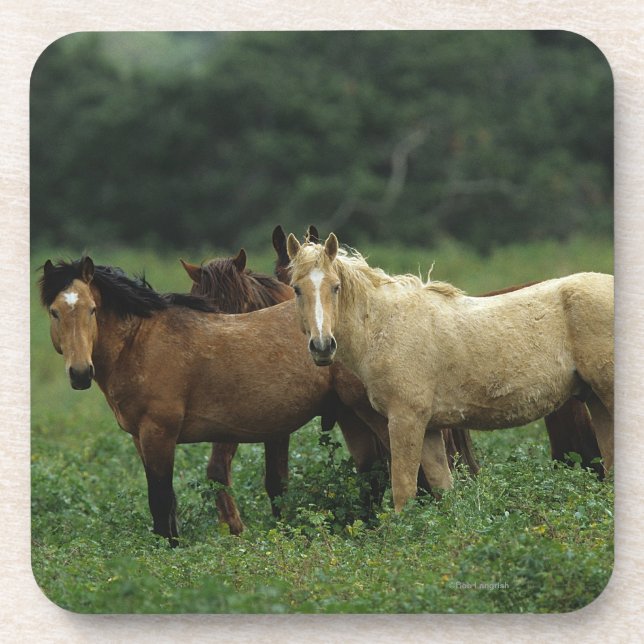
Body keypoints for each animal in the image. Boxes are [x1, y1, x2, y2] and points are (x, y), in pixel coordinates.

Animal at [40, 256, 391, 545]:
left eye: (92, 310)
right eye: (54, 312)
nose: (80, 373)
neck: (140, 341)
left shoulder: (159, 433)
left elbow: (161, 500)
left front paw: (170, 551)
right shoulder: (141, 438)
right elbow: (167, 503)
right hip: (350, 416)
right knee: (371, 473)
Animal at [286, 233, 614, 513]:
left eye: (335, 286)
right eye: (297, 288)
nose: (322, 346)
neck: (385, 326)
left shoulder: (405, 421)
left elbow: (403, 491)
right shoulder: (430, 429)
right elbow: (444, 490)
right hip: (596, 401)